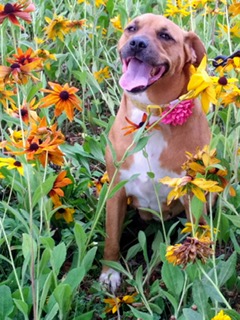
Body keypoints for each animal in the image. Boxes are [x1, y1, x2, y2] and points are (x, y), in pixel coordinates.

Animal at [99, 13, 210, 292]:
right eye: (131, 28)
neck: (153, 116)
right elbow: (112, 237)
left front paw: (196, 271)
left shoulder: (191, 193)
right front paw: (109, 272)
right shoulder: (116, 191)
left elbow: (194, 232)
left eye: (165, 36)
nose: (137, 43)